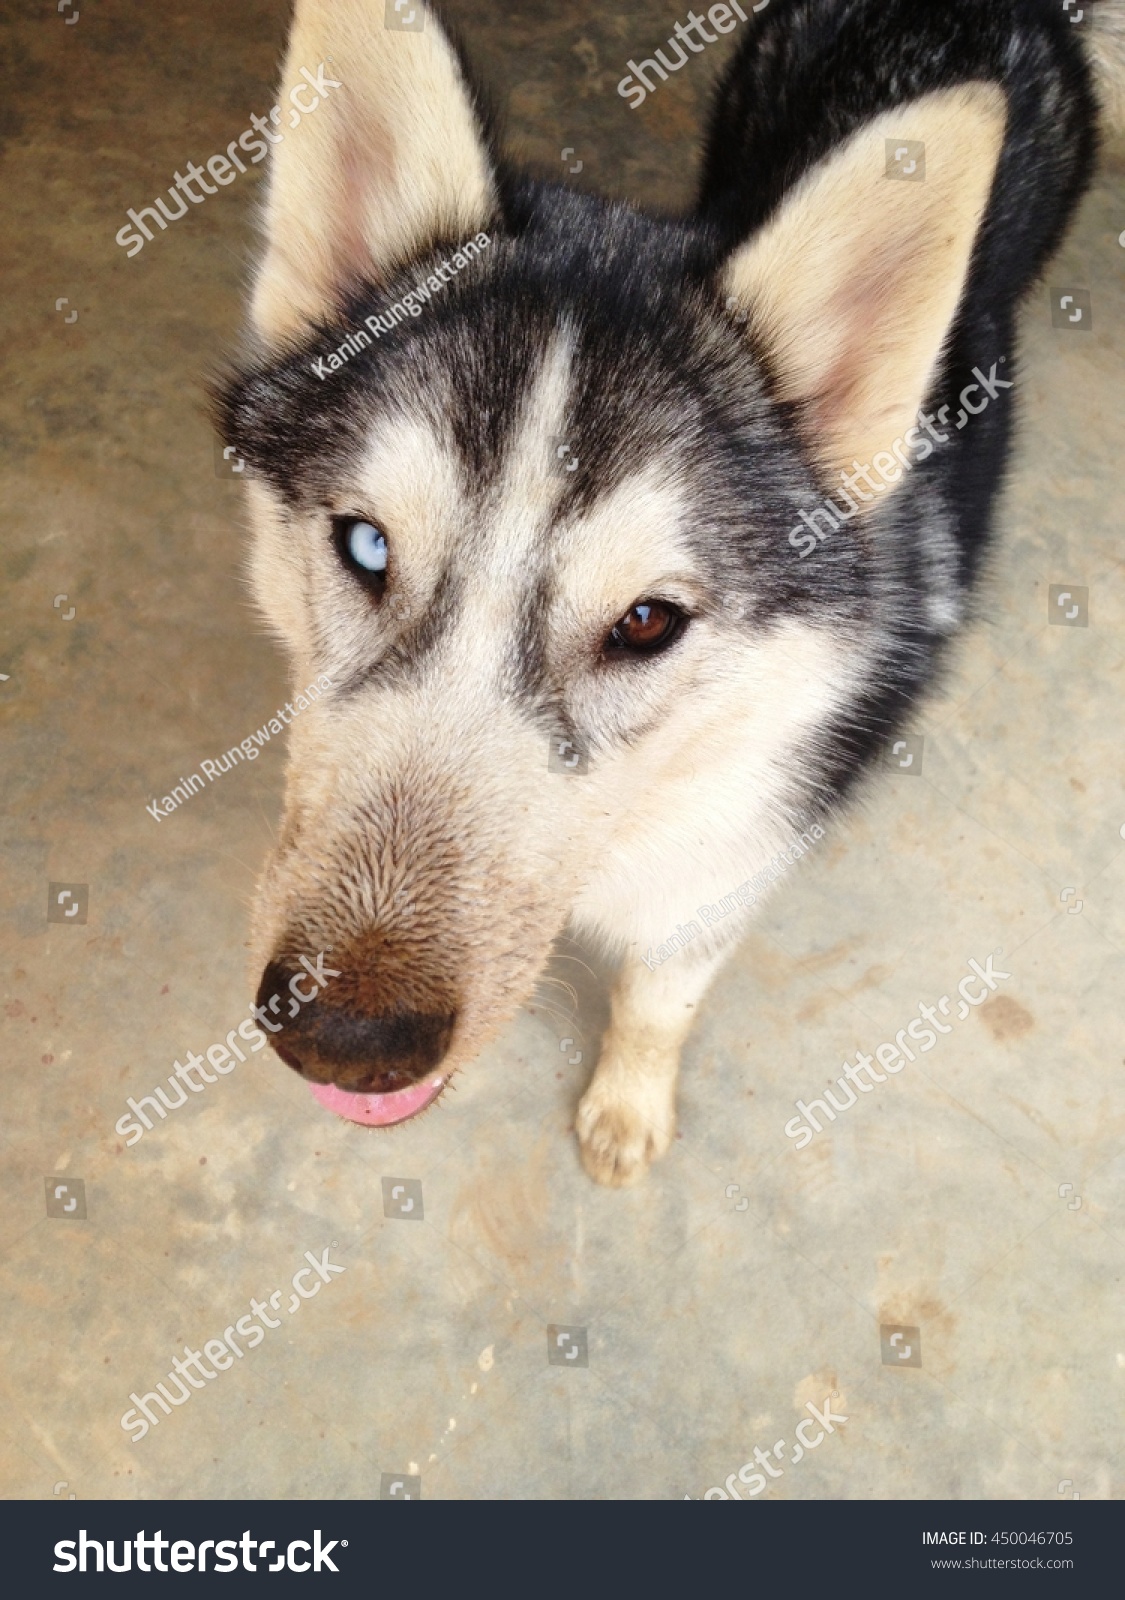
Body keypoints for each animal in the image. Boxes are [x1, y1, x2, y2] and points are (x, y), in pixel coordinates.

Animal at [216, 0, 1120, 1177]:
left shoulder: (727, 868)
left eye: (647, 622)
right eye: (367, 546)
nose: (343, 1036)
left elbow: (660, 1000)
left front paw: (628, 1103)